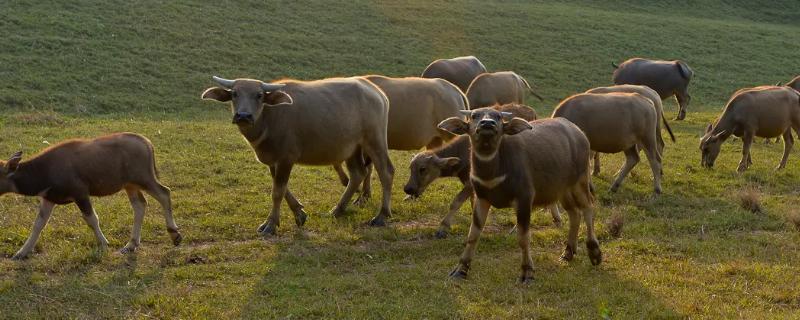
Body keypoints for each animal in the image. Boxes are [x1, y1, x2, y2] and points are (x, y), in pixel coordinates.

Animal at [0, 132, 181, 260]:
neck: (45, 172)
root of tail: (147, 143)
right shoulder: (49, 198)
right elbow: (38, 225)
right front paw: (21, 252)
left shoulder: (80, 193)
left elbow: (92, 219)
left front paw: (104, 244)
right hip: (130, 185)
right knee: (140, 205)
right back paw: (131, 244)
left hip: (144, 178)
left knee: (164, 193)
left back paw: (175, 234)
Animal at [202, 76, 396, 234]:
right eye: (235, 94)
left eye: (259, 95)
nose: (243, 116)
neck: (269, 118)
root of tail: (379, 94)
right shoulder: (273, 160)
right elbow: (282, 188)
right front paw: (299, 213)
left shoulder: (286, 158)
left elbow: (277, 192)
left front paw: (270, 224)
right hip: (352, 148)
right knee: (358, 174)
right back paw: (337, 210)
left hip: (375, 141)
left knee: (386, 172)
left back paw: (381, 215)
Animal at [404, 104, 560, 239]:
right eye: (411, 168)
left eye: (423, 169)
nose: (408, 189)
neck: (463, 153)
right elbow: (473, 203)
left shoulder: (470, 184)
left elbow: (456, 202)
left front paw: (442, 228)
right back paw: (557, 220)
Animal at [438, 108, 600, 282]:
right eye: (474, 116)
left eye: (498, 116)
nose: (487, 123)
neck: (494, 171)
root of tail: (579, 133)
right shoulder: (481, 199)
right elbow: (473, 234)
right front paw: (461, 269)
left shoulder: (524, 199)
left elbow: (523, 237)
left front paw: (527, 272)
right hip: (562, 189)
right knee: (574, 214)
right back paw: (568, 252)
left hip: (580, 181)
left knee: (588, 207)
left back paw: (594, 252)